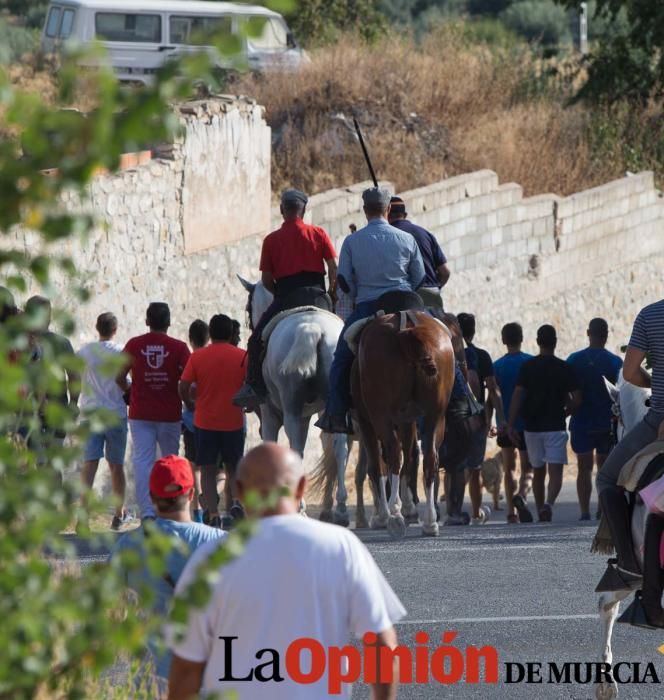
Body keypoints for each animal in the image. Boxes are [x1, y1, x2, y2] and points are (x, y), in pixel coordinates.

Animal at [240, 278, 352, 524]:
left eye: (249, 307)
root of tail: (313, 329)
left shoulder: (270, 415)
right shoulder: (307, 416)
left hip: (290, 407)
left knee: (295, 445)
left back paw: (302, 507)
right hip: (334, 407)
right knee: (340, 446)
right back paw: (340, 508)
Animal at [352, 310, 456, 536]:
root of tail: (407, 324)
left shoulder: (366, 422)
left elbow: (377, 467)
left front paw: (383, 515)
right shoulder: (407, 420)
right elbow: (411, 457)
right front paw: (410, 509)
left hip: (379, 416)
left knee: (392, 456)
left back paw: (394, 514)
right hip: (436, 416)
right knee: (429, 458)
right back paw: (429, 522)